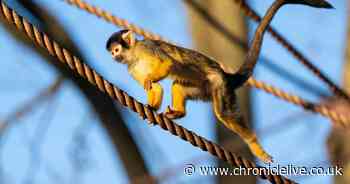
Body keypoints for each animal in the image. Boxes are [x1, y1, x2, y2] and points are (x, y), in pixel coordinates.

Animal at [106, 0, 334, 164]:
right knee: (179, 84)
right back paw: (179, 113)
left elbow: (167, 63)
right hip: (202, 88)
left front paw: (152, 79)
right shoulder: (131, 68)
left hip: (218, 85)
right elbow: (157, 87)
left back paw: (254, 145)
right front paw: (151, 108)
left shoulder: (147, 48)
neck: (134, 55)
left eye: (116, 50)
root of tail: (225, 74)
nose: (114, 56)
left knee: (223, 113)